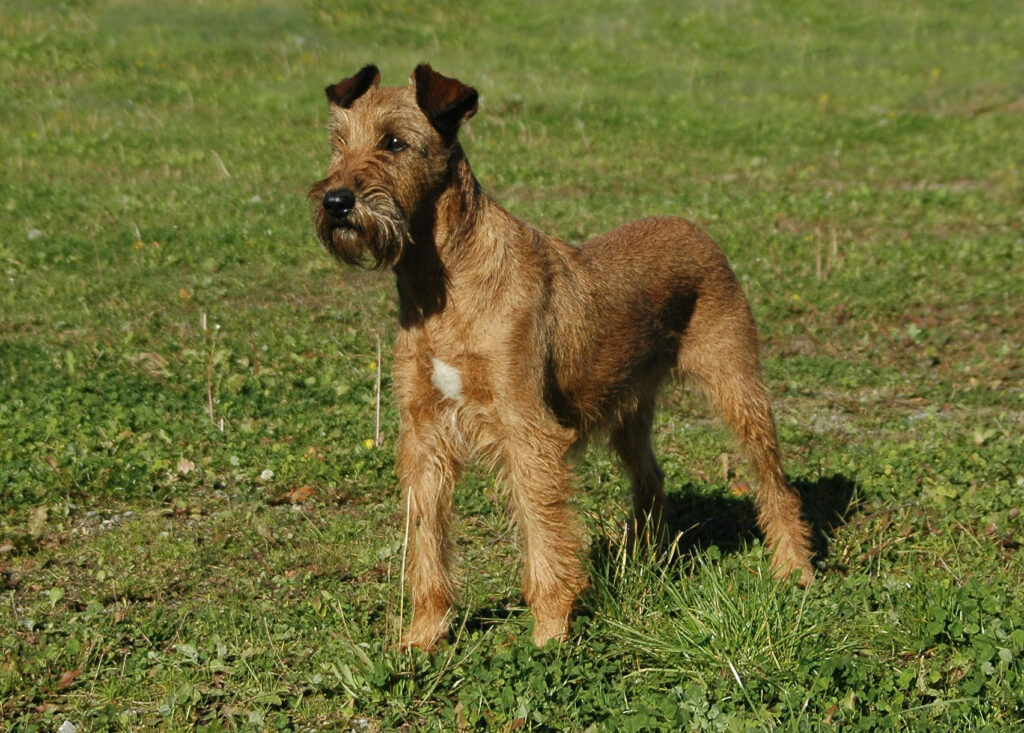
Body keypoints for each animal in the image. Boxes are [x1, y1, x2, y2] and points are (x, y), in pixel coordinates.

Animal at [307, 66, 811, 651]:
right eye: (338, 143)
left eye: (394, 142)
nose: (336, 201)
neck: (445, 284)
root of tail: (696, 228)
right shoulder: (425, 431)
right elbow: (427, 538)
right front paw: (423, 636)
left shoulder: (527, 431)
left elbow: (543, 535)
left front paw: (550, 632)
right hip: (629, 409)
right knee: (651, 477)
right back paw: (648, 563)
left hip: (738, 387)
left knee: (775, 485)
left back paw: (794, 570)